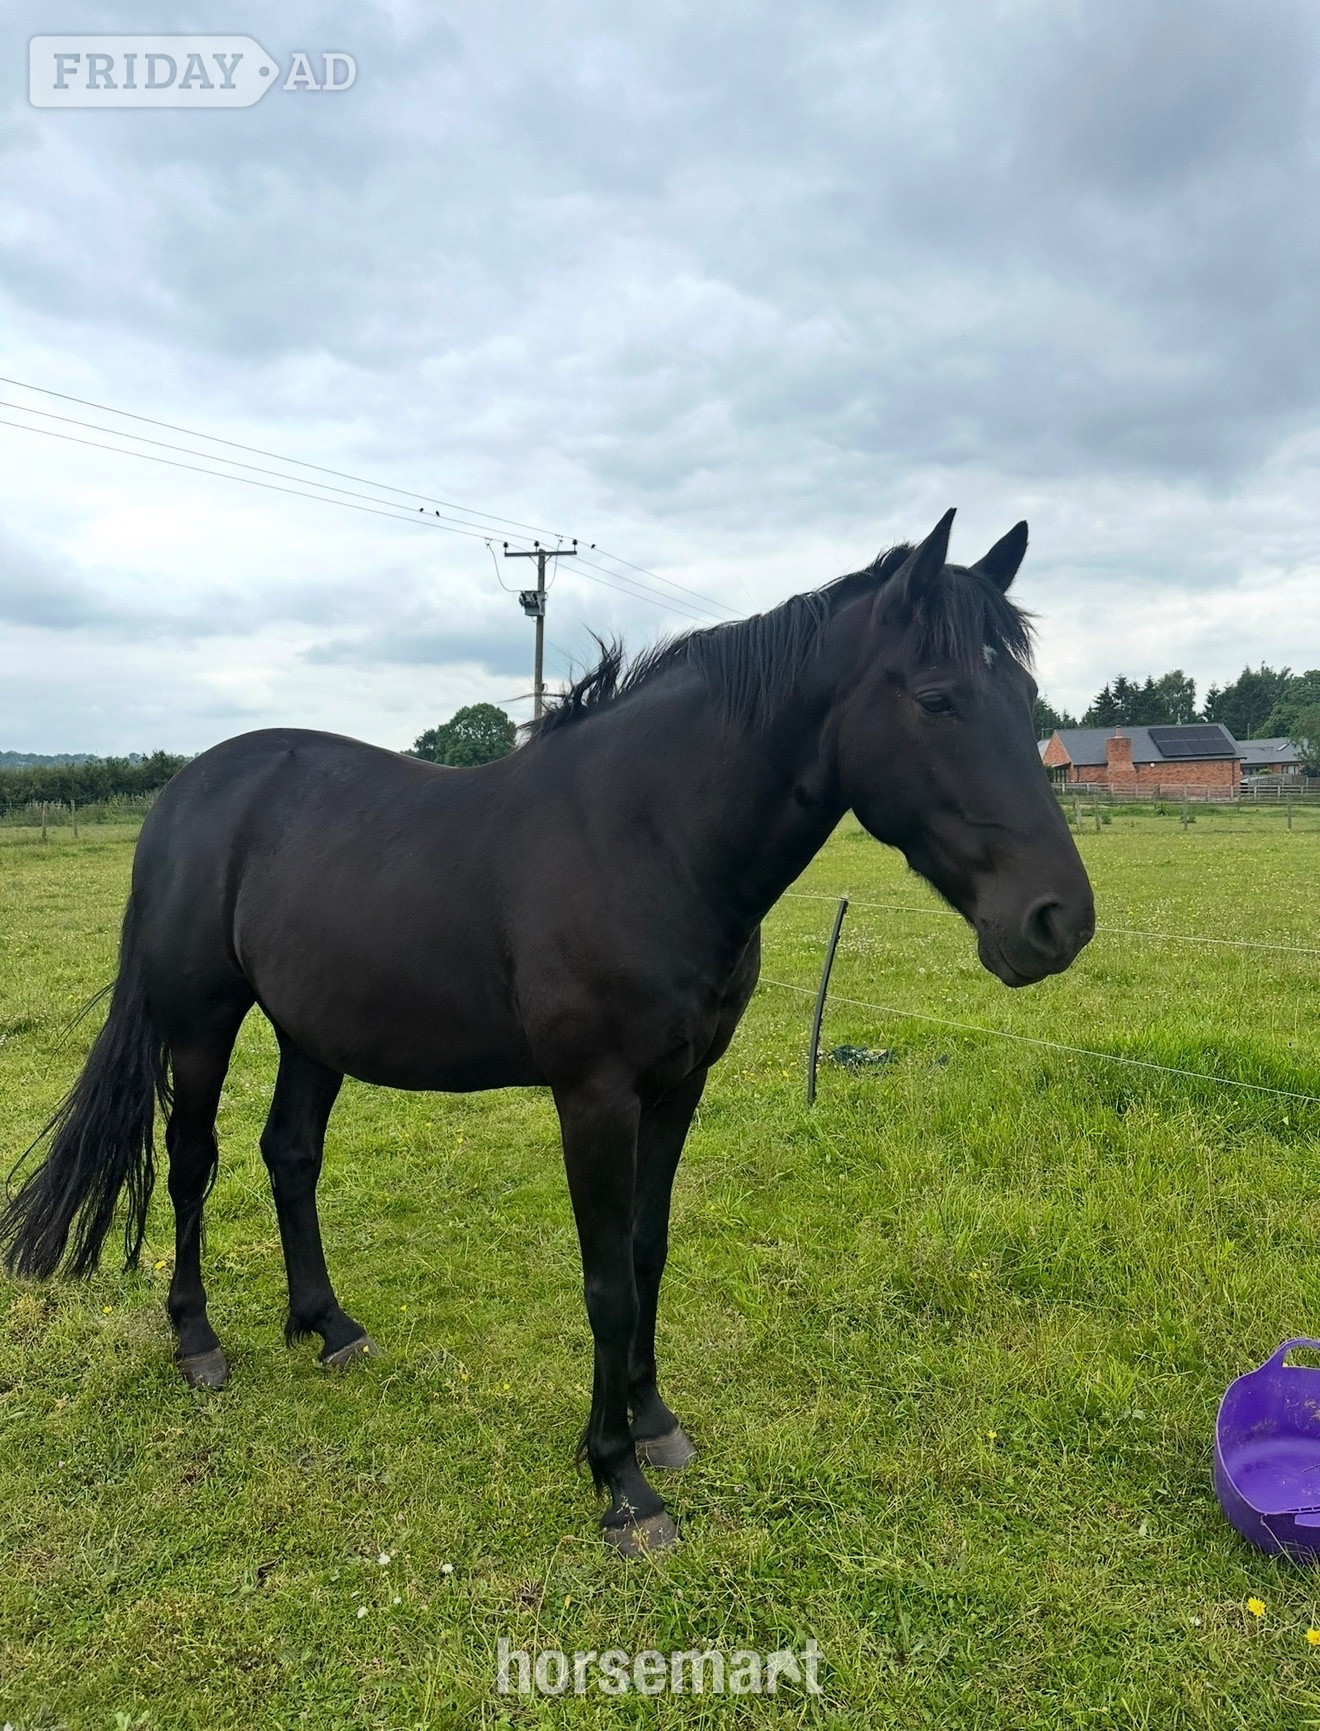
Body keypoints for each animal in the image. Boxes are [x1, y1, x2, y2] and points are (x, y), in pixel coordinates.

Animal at [1, 509, 1094, 1555]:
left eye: (1025, 694)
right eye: (939, 698)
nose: (1058, 920)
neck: (648, 836)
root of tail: (188, 791)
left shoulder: (680, 1084)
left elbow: (648, 1252)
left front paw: (655, 1420)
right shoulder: (595, 1096)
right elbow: (607, 1278)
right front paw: (621, 1481)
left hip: (309, 1030)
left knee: (290, 1153)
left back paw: (328, 1324)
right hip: (201, 1022)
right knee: (193, 1163)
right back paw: (197, 1343)